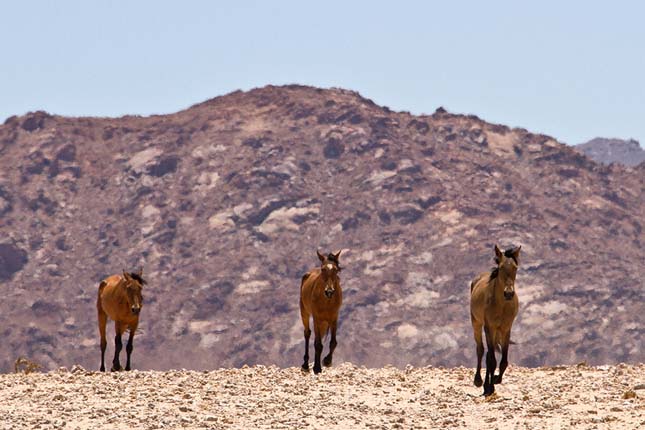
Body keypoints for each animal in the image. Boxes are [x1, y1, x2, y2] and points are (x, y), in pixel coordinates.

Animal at [470, 245, 520, 396]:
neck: (502, 305)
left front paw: (497, 379)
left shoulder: (506, 328)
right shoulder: (489, 327)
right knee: (481, 350)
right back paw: (479, 381)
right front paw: (490, 386)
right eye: (501, 267)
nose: (509, 293)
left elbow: (503, 361)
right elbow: (491, 359)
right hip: (476, 323)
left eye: (515, 267)